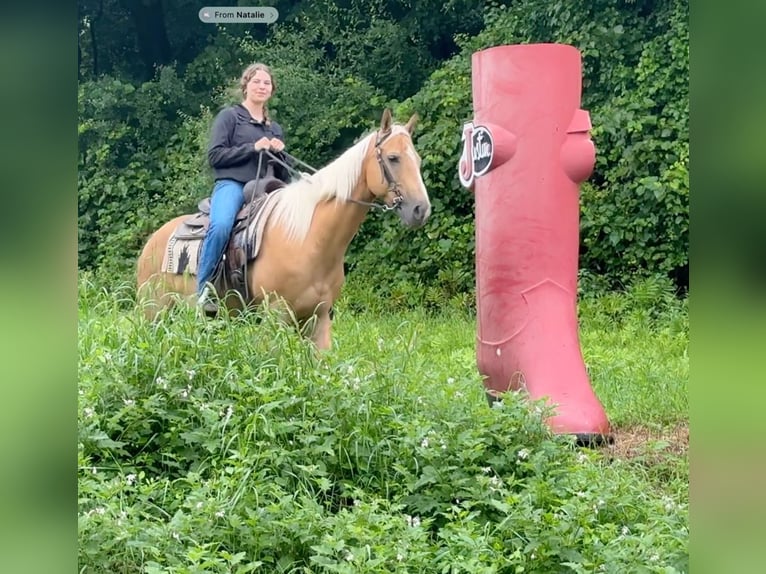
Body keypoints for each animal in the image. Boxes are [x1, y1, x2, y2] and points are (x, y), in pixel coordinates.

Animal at [136, 108, 432, 352]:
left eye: (417, 159)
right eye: (393, 158)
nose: (421, 209)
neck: (310, 240)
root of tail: (153, 241)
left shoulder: (318, 319)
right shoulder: (275, 317)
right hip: (154, 312)